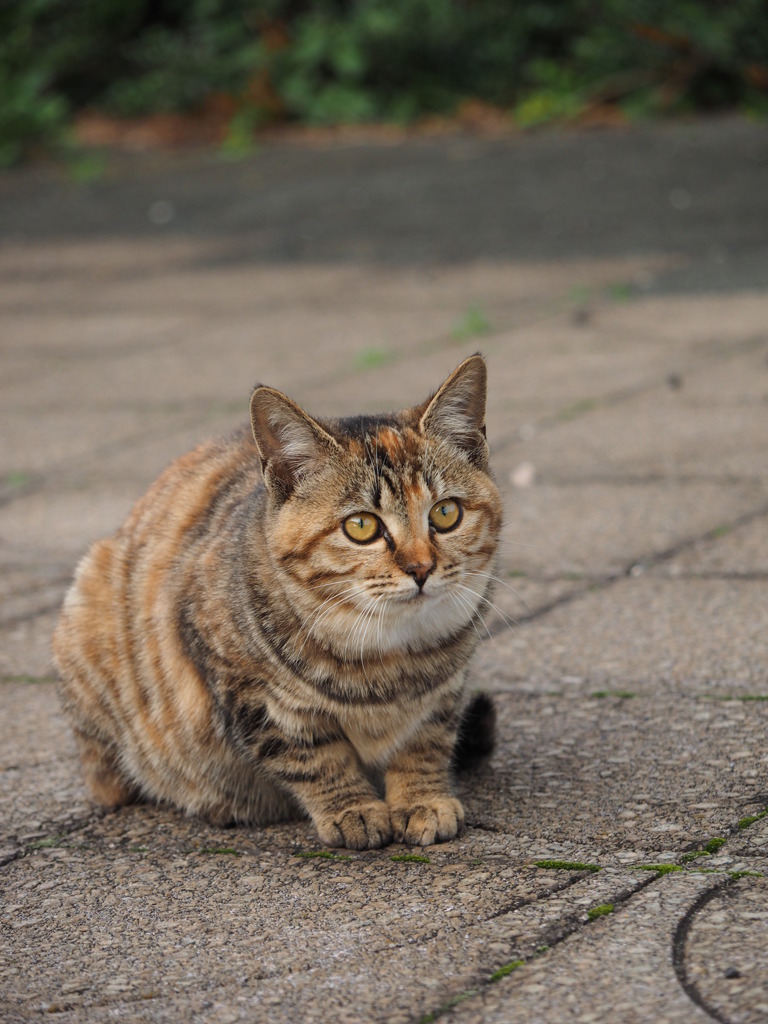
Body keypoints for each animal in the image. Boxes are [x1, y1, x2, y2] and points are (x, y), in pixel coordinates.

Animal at [52, 352, 499, 847]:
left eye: (446, 513)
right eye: (361, 526)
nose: (420, 568)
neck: (389, 656)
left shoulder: (444, 691)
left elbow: (426, 741)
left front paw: (422, 799)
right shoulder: (252, 693)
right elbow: (313, 756)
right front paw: (352, 808)